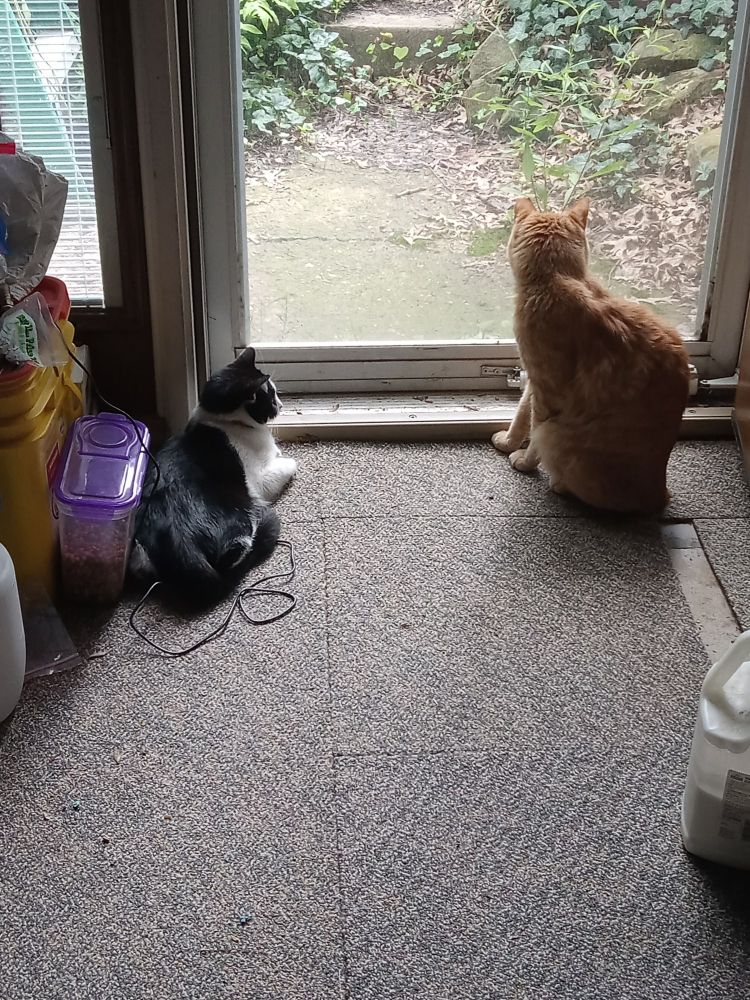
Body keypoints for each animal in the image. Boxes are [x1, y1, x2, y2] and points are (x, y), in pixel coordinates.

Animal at [130, 347, 297, 606]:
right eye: (271, 396)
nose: (280, 404)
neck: (222, 420)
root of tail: (181, 544)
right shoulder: (261, 480)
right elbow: (291, 463)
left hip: (139, 550)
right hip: (241, 519)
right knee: (233, 559)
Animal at [491, 197, 690, 514]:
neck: (555, 279)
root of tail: (660, 494)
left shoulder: (547, 390)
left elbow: (534, 429)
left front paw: (523, 460)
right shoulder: (534, 381)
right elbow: (522, 413)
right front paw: (510, 442)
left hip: (558, 434)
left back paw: (560, 485)